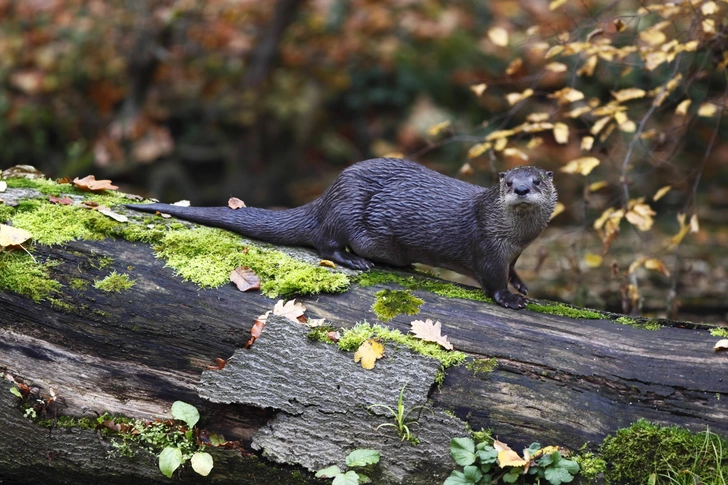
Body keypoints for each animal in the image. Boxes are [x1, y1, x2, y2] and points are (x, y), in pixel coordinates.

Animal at [126, 159, 556, 310]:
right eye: (508, 183)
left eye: (536, 180)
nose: (521, 189)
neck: (514, 237)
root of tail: (327, 196)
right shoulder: (487, 246)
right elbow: (492, 280)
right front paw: (510, 298)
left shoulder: (515, 252)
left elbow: (513, 271)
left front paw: (523, 285)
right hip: (347, 209)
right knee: (326, 243)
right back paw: (354, 260)